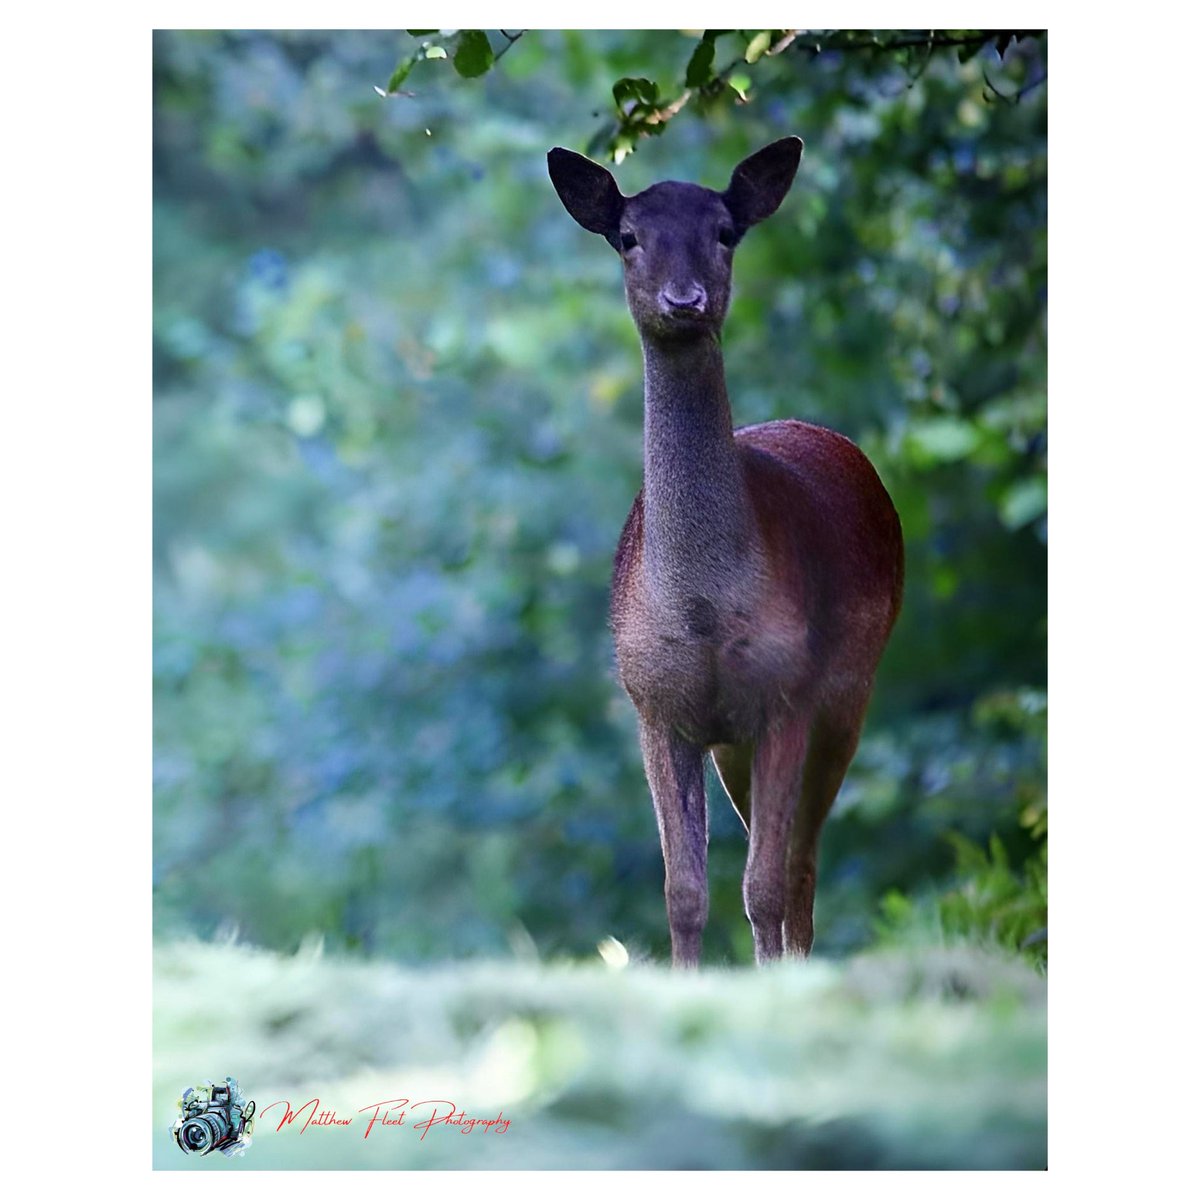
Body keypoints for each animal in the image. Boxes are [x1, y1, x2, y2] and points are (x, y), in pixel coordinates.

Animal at [549, 138, 902, 964]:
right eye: (628, 236)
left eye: (726, 232)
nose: (684, 300)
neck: (703, 610)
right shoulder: (654, 705)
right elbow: (684, 891)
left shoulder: (788, 692)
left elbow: (764, 883)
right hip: (733, 744)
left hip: (851, 690)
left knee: (800, 866)